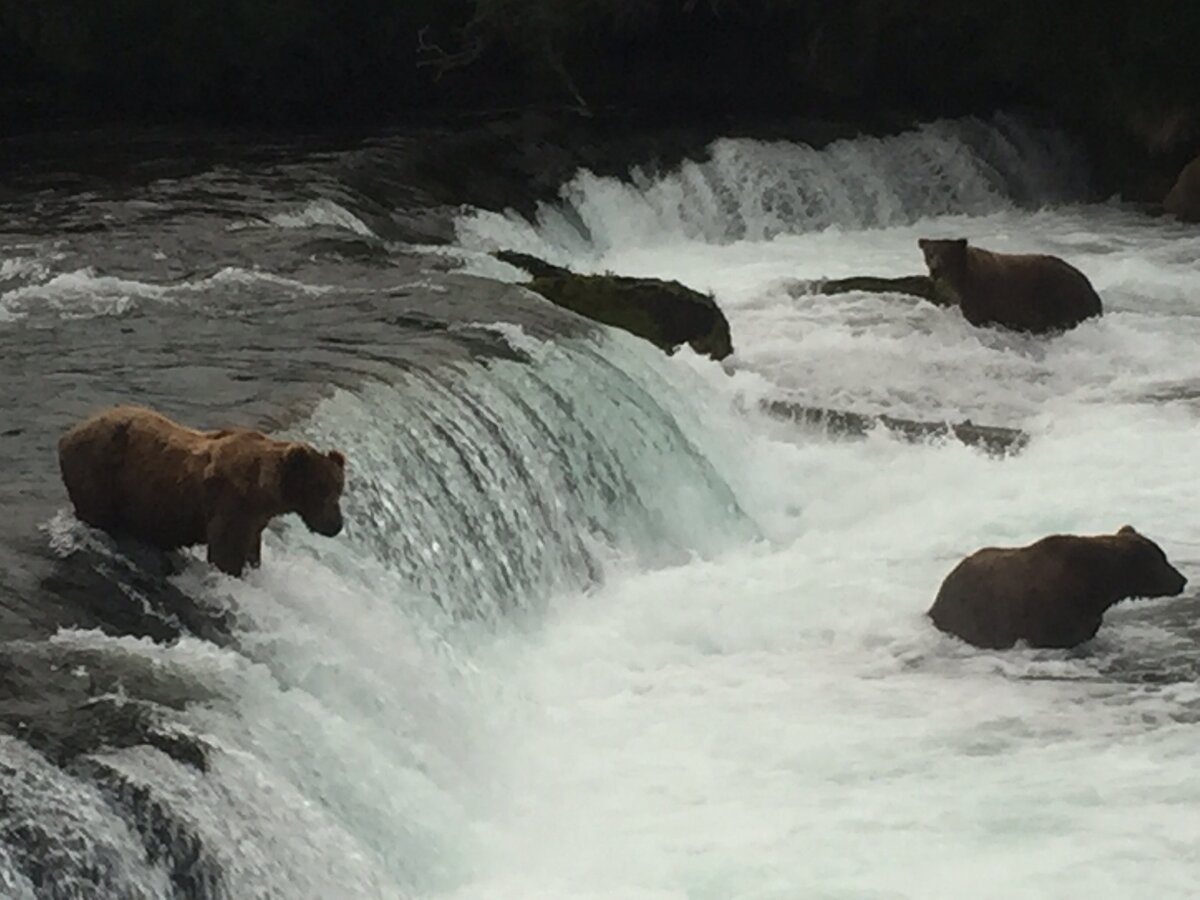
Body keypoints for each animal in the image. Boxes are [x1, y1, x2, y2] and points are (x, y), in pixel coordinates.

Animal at [57, 403, 345, 573]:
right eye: (323, 490)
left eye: (339, 489)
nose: (336, 525)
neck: (266, 491)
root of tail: (68, 433)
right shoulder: (231, 504)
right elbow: (225, 553)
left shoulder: (255, 519)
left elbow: (251, 548)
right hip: (100, 474)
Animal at [916, 240, 1104, 336]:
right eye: (930, 253)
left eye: (946, 254)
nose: (935, 269)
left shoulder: (980, 295)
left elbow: (975, 317)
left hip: (1057, 296)